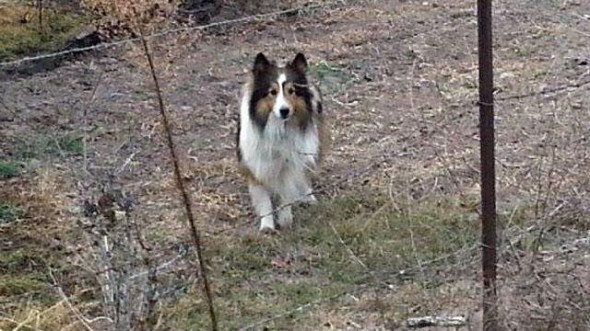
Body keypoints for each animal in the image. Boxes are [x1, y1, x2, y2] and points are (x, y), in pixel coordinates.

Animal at [237, 52, 328, 233]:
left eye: (291, 91)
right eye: (272, 92)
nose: (284, 111)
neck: (278, 128)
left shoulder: (289, 167)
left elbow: (286, 193)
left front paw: (286, 219)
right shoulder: (257, 164)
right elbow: (264, 200)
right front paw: (267, 226)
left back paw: (308, 197)